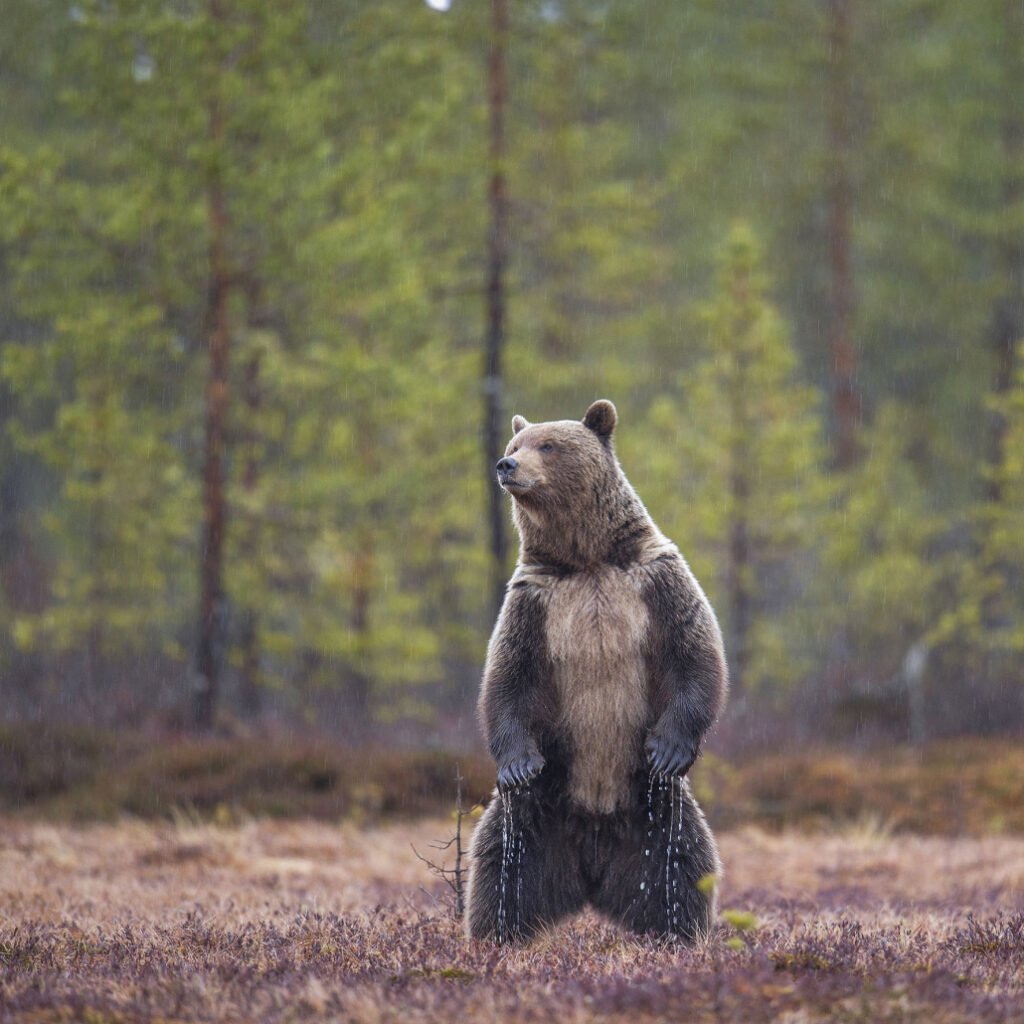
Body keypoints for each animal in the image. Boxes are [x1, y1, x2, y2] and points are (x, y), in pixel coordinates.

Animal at [464, 399, 728, 945]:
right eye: (514, 443)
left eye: (548, 445)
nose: (506, 466)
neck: (586, 560)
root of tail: (591, 864)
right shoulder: (534, 602)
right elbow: (507, 677)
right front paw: (516, 763)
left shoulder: (654, 579)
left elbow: (694, 652)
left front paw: (670, 748)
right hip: (537, 816)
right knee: (499, 873)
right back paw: (496, 935)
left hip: (656, 814)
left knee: (682, 873)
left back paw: (679, 932)